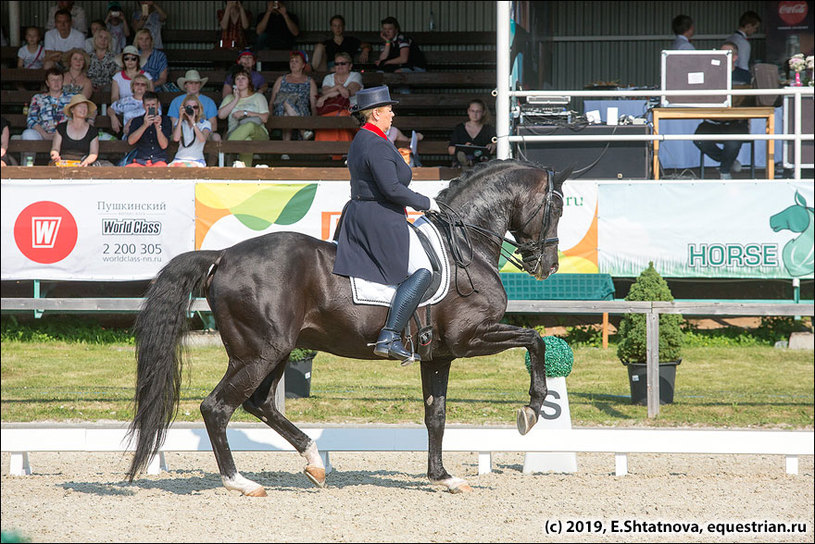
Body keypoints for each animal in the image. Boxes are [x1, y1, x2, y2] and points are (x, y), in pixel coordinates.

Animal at [129, 159, 568, 496]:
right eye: (558, 207)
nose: (547, 267)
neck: (466, 248)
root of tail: (223, 255)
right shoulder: (471, 337)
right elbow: (536, 341)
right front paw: (532, 410)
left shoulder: (439, 355)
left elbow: (436, 415)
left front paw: (443, 477)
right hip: (259, 352)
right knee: (217, 407)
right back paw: (241, 482)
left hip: (276, 350)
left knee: (260, 403)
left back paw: (314, 462)